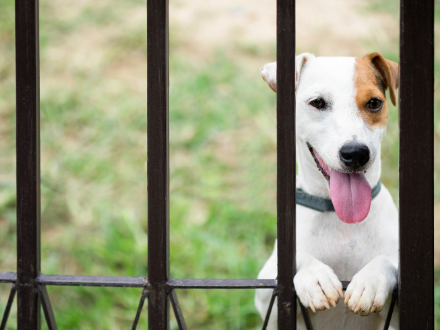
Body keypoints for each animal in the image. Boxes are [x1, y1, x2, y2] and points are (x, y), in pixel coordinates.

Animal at [253, 52, 400, 328]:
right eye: (318, 102)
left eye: (375, 103)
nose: (356, 153)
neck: (338, 217)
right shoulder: (268, 296)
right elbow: (295, 260)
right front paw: (315, 276)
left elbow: (387, 260)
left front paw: (371, 280)